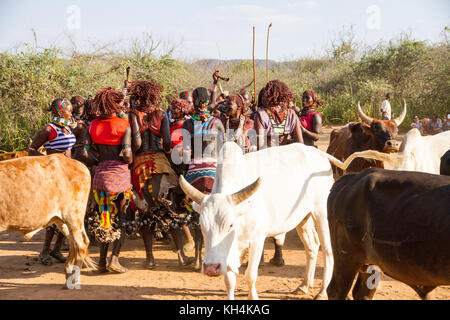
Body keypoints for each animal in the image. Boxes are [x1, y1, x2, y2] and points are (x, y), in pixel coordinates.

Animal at [179, 141, 348, 298]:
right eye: (202, 226)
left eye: (230, 225)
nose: (210, 268)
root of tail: (317, 153)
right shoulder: (228, 251)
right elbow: (229, 280)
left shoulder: (257, 239)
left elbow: (250, 275)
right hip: (303, 218)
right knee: (312, 246)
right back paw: (304, 286)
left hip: (322, 213)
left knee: (328, 251)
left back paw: (322, 291)